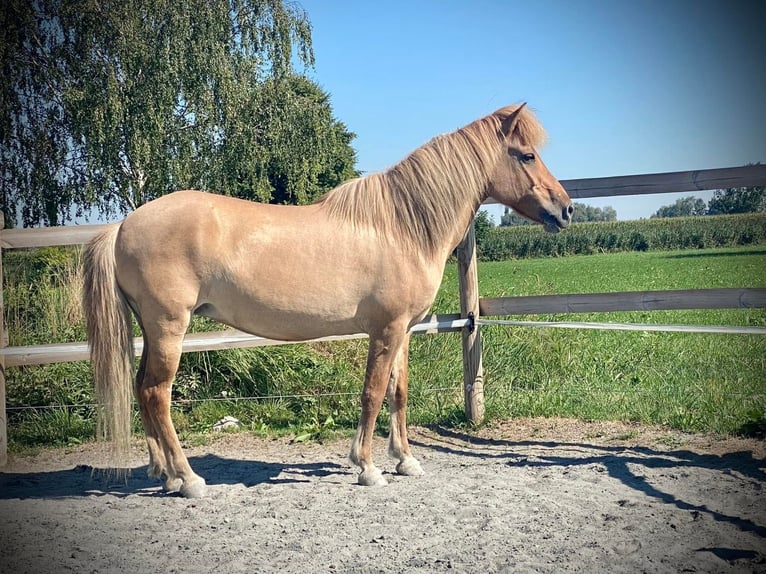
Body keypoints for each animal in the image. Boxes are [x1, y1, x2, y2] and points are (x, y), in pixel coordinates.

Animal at [85, 104, 576, 500]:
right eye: (527, 155)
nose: (567, 209)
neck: (402, 226)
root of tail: (123, 225)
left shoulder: (403, 331)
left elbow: (398, 392)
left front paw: (405, 460)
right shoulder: (386, 330)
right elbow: (372, 394)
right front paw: (367, 467)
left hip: (152, 330)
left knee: (141, 390)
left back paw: (164, 475)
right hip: (169, 327)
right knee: (156, 394)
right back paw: (188, 480)